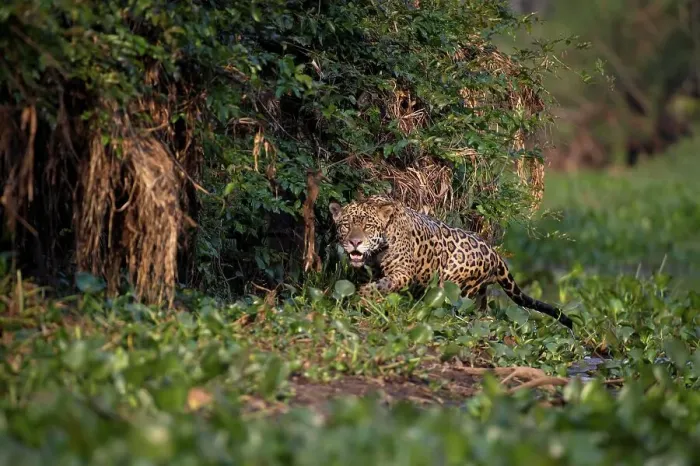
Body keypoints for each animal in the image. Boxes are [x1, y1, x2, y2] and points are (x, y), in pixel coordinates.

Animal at [329, 195, 573, 329]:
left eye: (368, 227)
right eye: (346, 226)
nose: (355, 242)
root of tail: (494, 253)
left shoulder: (402, 272)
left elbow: (382, 285)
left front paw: (364, 297)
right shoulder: (365, 270)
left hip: (455, 287)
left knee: (456, 307)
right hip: (478, 293)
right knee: (482, 310)